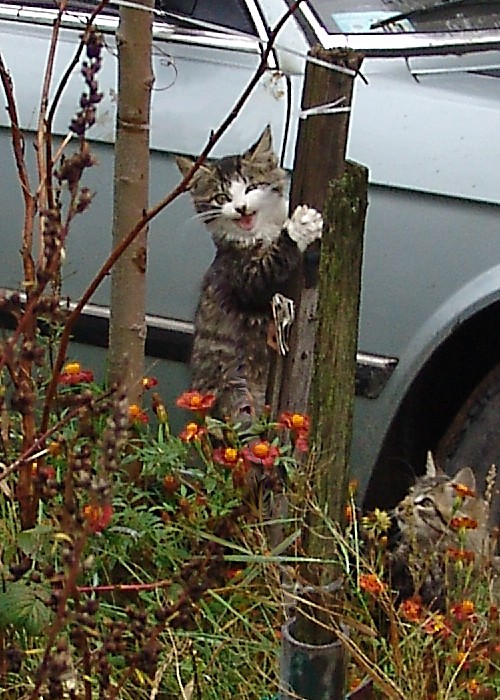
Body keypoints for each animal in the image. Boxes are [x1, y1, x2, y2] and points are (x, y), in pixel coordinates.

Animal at [178, 126, 322, 422]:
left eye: (251, 187)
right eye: (222, 198)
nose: (241, 208)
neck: (260, 233)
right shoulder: (243, 277)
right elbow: (275, 260)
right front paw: (300, 227)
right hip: (235, 392)